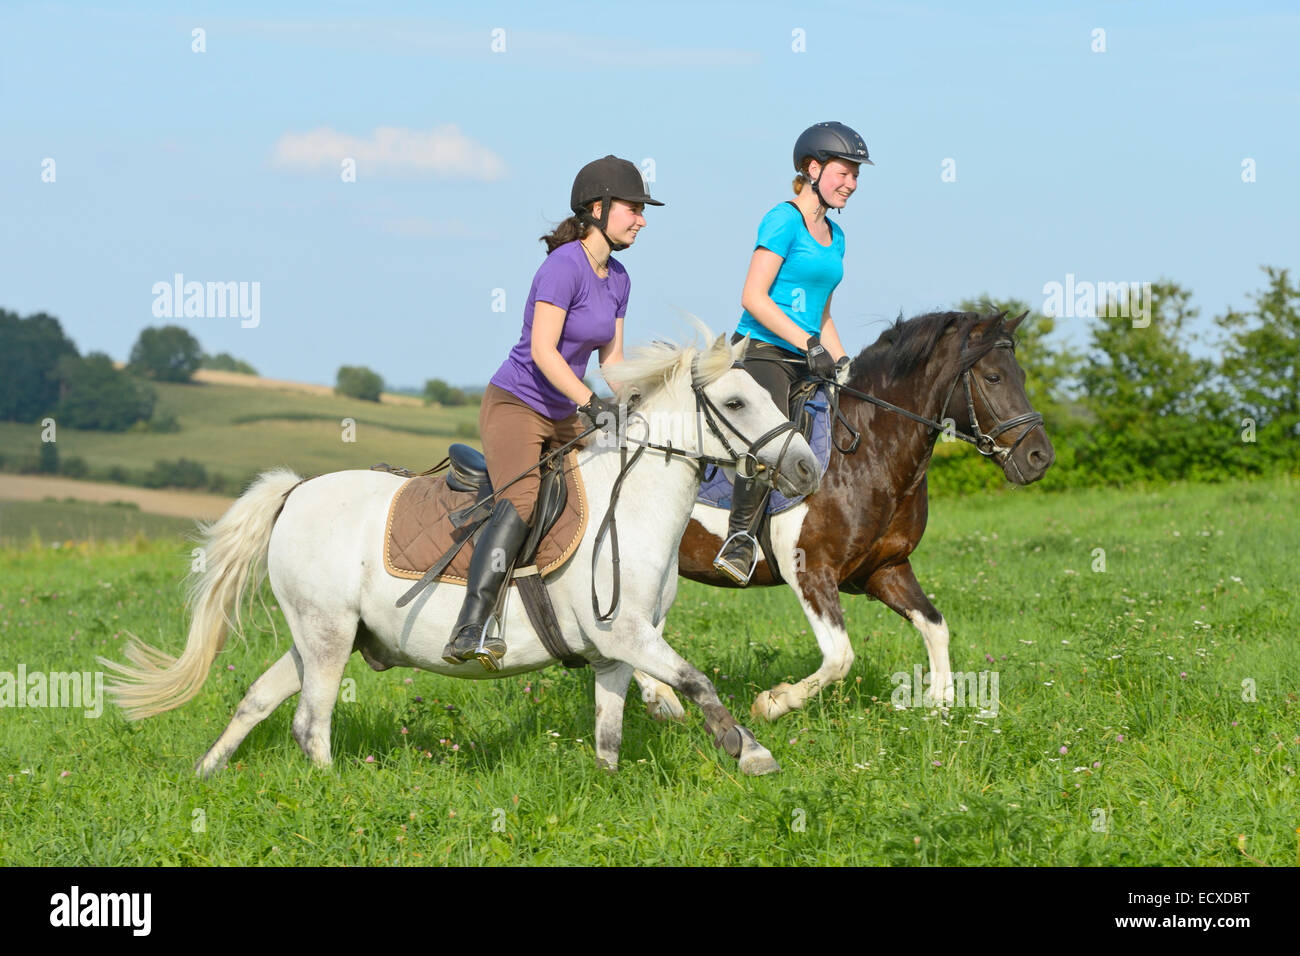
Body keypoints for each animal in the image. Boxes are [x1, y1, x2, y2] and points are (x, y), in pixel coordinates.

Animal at [101, 329, 816, 780]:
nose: (807, 470)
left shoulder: (617, 650)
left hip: (320, 634)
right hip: (328, 635)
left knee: (259, 699)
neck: (633, 508)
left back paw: (206, 772)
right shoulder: (631, 636)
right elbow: (697, 682)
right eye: (735, 401)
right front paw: (750, 751)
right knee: (311, 721)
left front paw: (610, 785)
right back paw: (331, 793)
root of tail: (296, 493)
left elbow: (610, 736)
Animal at [639, 310, 1055, 723]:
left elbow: (936, 626)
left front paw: (940, 703)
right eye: (994, 377)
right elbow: (840, 657)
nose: (1040, 457)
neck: (867, 450)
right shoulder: (810, 571)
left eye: (1022, 376)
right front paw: (772, 703)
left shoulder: (886, 568)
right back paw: (662, 697)